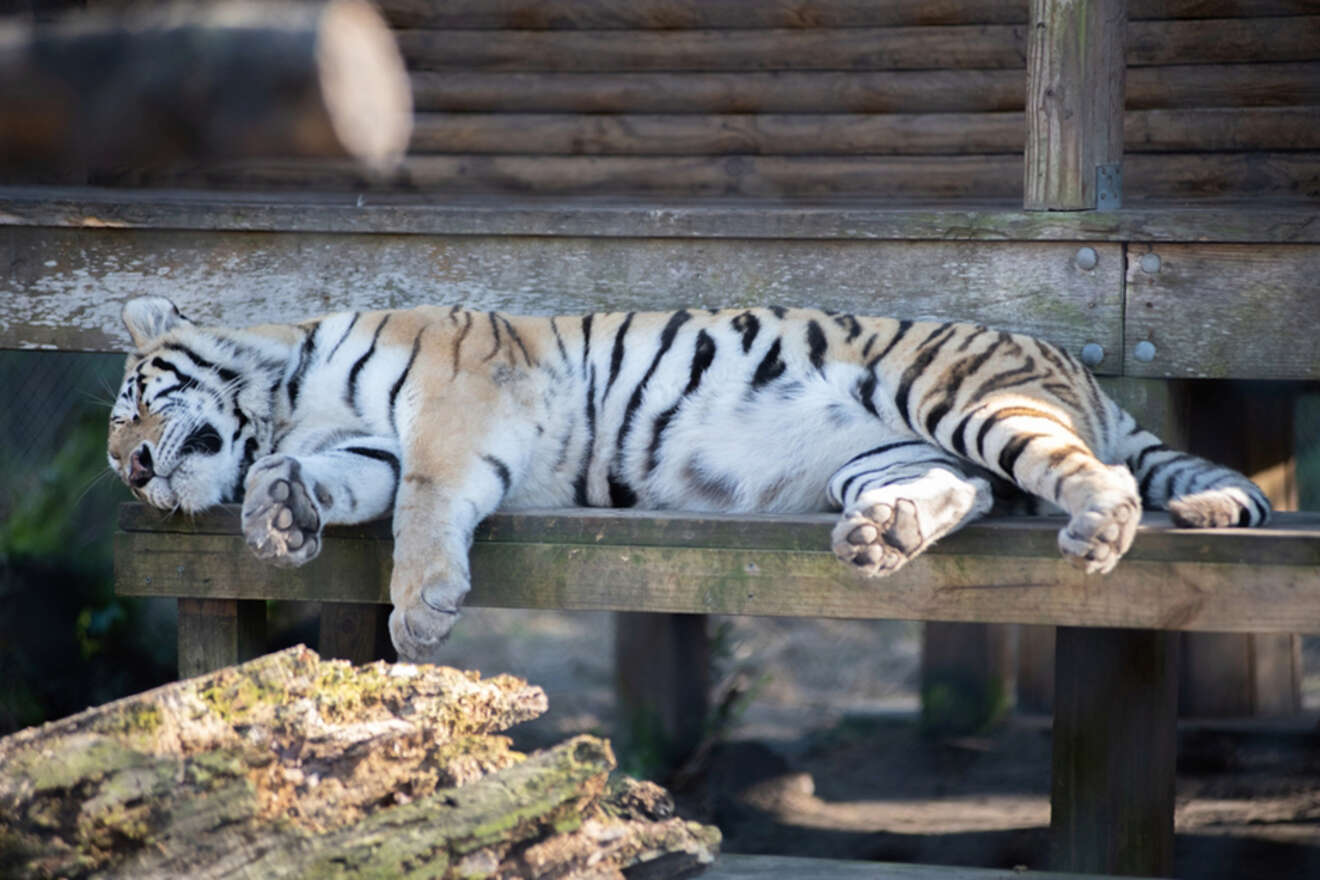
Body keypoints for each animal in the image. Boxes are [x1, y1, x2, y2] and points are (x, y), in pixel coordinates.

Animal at [110, 295, 1267, 659]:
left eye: (133, 400)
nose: (128, 474)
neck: (286, 392)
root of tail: (1069, 362)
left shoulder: (451, 408)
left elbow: (429, 508)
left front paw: (422, 611)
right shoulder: (364, 446)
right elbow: (328, 478)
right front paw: (279, 515)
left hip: (962, 398)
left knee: (1090, 474)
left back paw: (1100, 530)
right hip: (894, 449)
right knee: (971, 489)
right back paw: (883, 534)